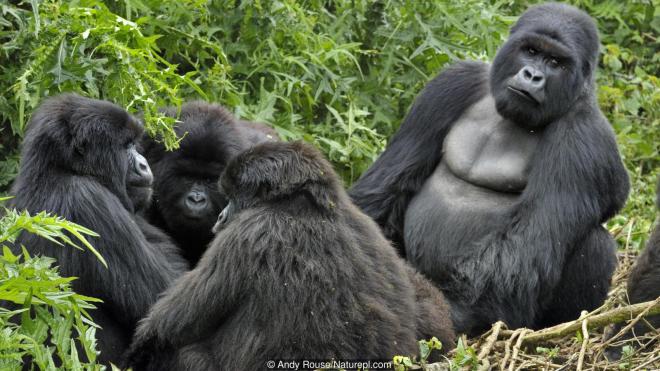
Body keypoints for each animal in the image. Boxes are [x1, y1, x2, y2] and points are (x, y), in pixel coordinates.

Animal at [9, 93, 187, 364]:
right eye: (125, 146)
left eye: (135, 144)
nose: (144, 165)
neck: (57, 170)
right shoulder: (89, 202)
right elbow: (163, 303)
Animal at [124, 141, 454, 370]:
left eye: (232, 198)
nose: (220, 217)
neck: (302, 204)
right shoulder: (369, 227)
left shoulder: (245, 235)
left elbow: (165, 329)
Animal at [350, 2, 628, 338]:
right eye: (531, 51)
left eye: (555, 62)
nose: (533, 75)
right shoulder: (452, 84)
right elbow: (388, 186)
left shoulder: (584, 139)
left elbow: (525, 246)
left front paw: (447, 314)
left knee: (596, 243)